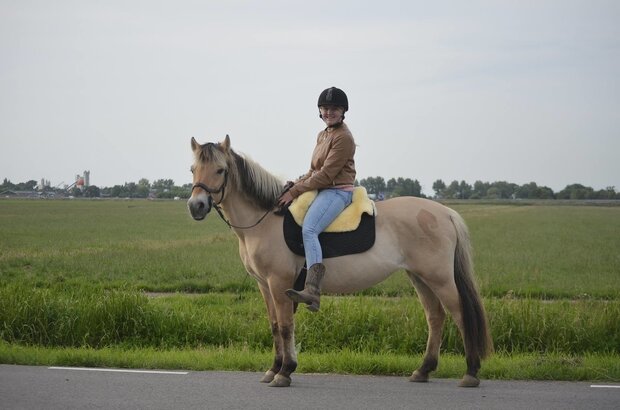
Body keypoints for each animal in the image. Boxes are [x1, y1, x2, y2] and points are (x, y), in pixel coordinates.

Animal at [186, 137, 492, 388]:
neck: (266, 218)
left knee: (460, 314)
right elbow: (274, 326)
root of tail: (445, 212)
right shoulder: (264, 285)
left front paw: (285, 371)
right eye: (192, 169)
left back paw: (471, 372)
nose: (196, 206)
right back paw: (423, 370)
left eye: (220, 170)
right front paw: (274, 369)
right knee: (435, 317)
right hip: (420, 277)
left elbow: (285, 326)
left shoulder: (278, 283)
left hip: (439, 278)